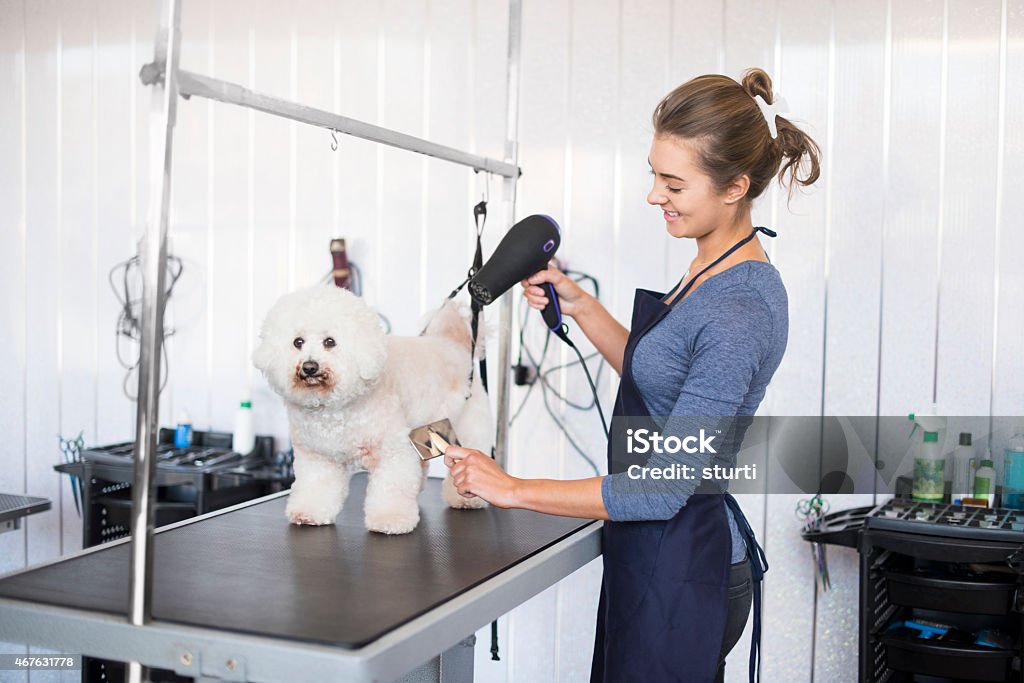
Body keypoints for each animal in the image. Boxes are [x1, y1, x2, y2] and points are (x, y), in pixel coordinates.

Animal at [249, 282, 485, 532]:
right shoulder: (318, 457)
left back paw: (466, 499)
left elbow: (391, 488)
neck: (333, 409)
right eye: (298, 342)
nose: (309, 366)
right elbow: (317, 487)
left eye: (329, 342)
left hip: (466, 432)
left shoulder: (392, 451)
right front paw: (309, 513)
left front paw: (391, 519)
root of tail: (455, 345)